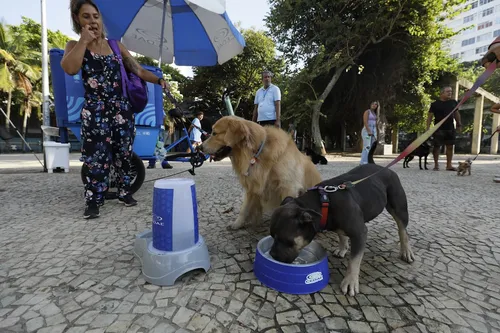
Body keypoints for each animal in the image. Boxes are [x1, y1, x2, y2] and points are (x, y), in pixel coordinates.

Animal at [270, 141, 414, 296]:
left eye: (287, 241)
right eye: (272, 236)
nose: (271, 254)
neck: (323, 201)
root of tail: (379, 167)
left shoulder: (359, 233)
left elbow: (354, 260)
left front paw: (350, 281)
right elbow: (341, 235)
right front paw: (343, 248)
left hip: (398, 207)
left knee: (403, 230)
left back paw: (406, 251)